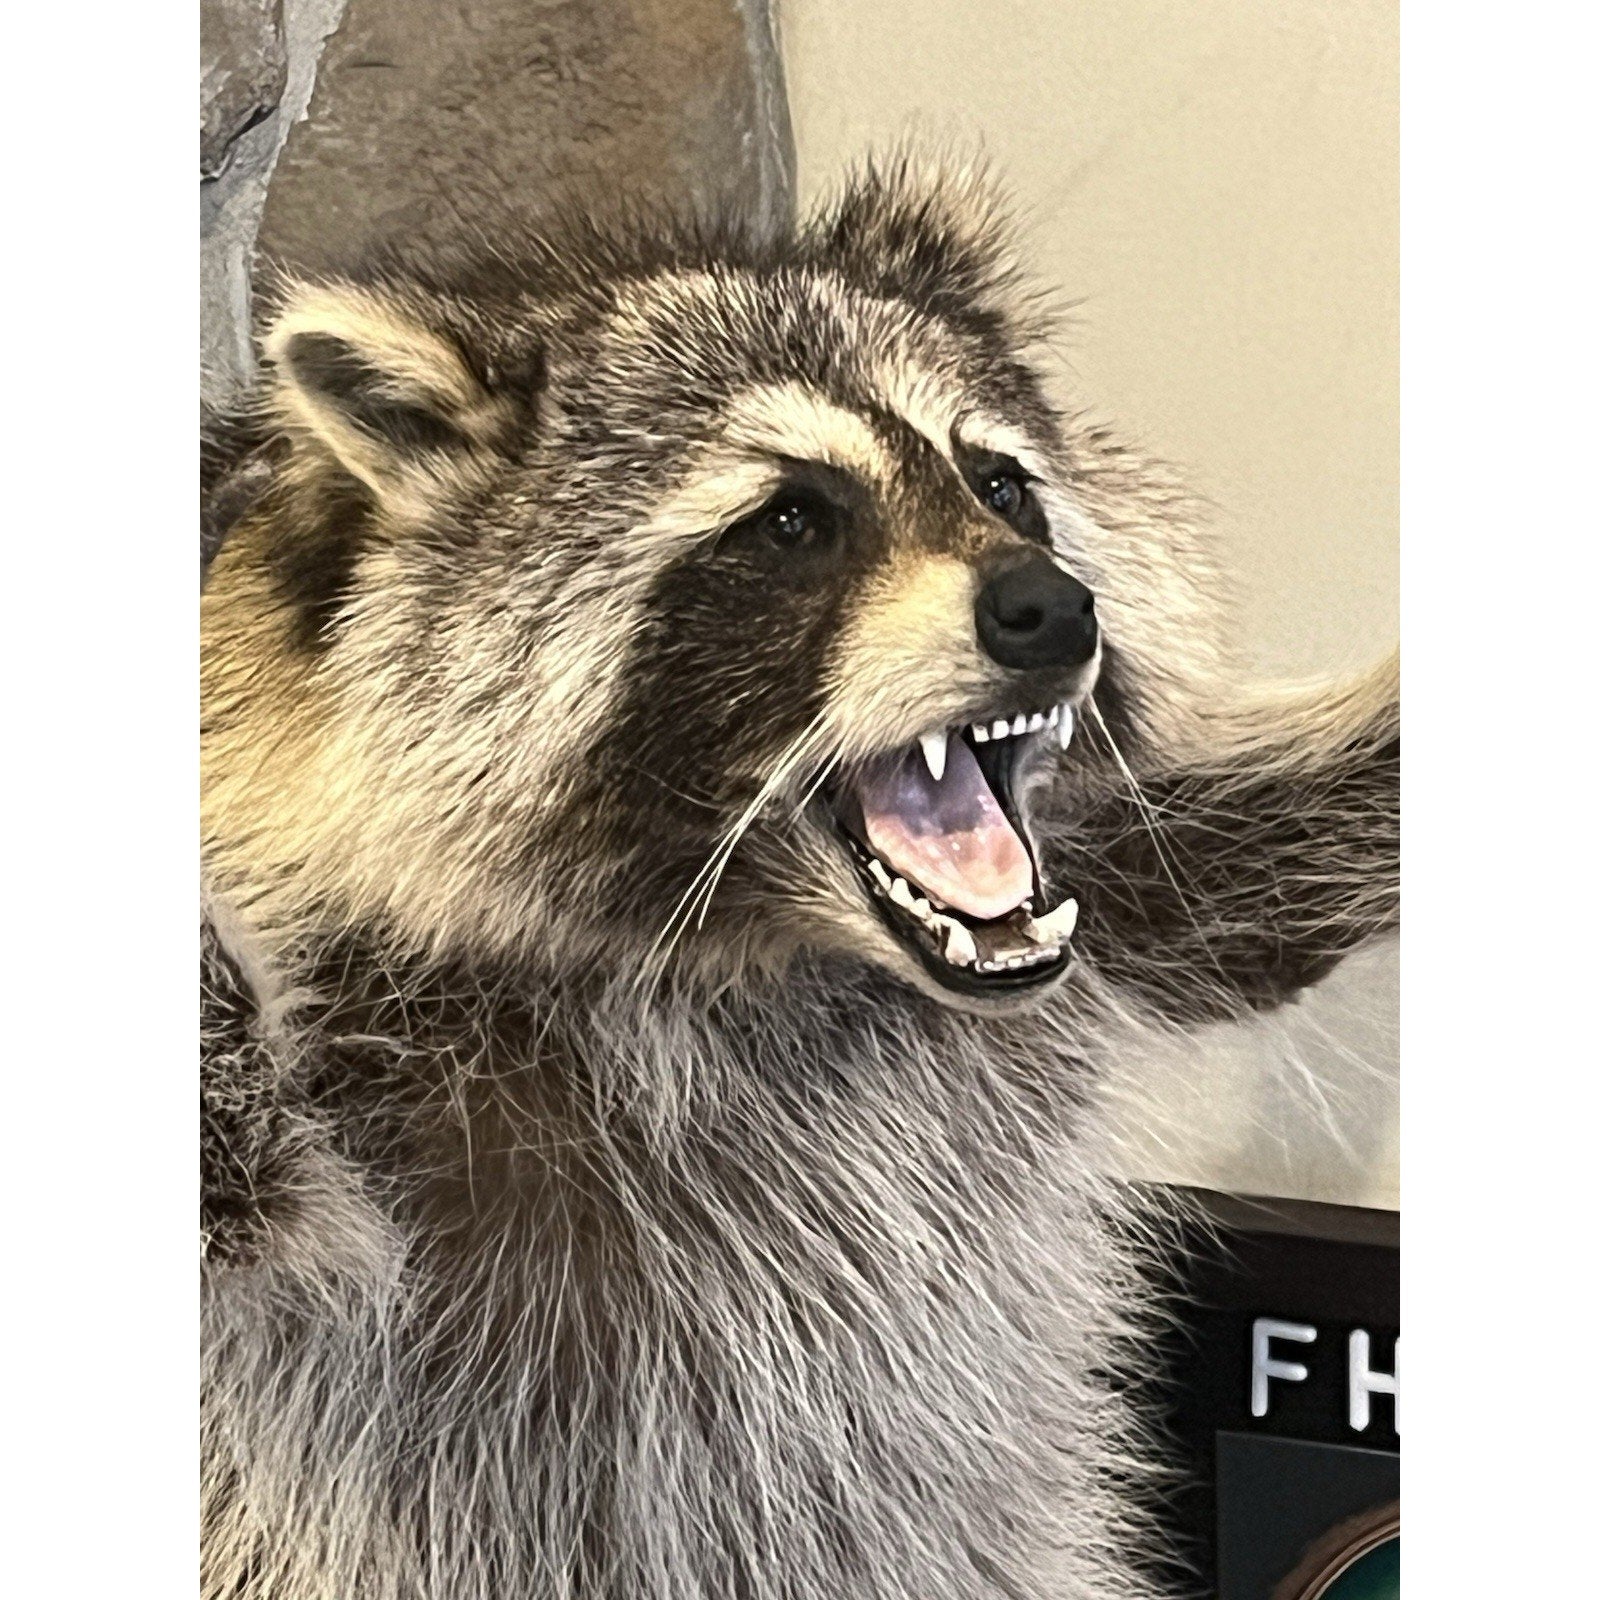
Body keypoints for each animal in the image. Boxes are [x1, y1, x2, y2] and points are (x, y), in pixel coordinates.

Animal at [201, 158, 1399, 1599]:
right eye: (791, 520)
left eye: (1001, 484)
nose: (1053, 608)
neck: (764, 955)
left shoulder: (1103, 893)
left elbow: (1222, 867)